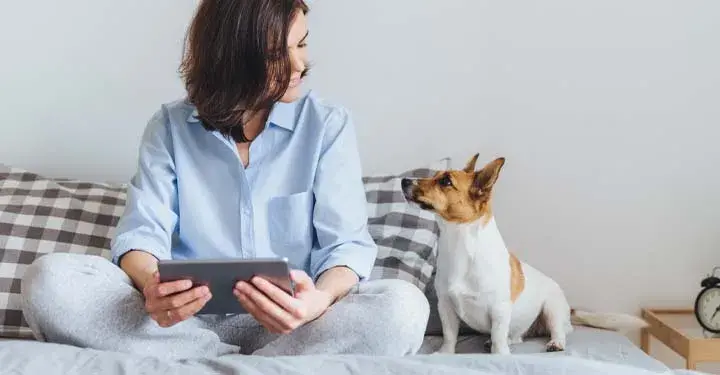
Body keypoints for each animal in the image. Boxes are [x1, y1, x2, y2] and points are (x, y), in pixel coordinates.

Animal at [400, 153, 648, 356]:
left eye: (445, 181)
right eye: (435, 176)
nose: (404, 181)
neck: (460, 244)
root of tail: (569, 309)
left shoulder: (499, 309)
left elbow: (499, 338)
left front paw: (500, 355)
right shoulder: (446, 306)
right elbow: (450, 335)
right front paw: (445, 353)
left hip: (552, 309)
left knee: (558, 331)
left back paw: (555, 343)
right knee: (516, 337)